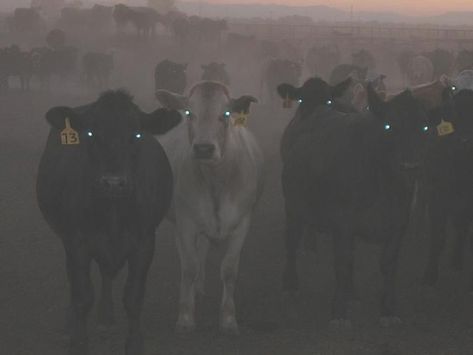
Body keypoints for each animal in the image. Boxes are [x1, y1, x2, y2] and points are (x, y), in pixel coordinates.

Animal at [36, 90, 181, 354]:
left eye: (137, 134)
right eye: (91, 133)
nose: (113, 183)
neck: (113, 214)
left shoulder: (144, 242)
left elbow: (133, 297)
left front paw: (134, 343)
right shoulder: (77, 241)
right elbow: (82, 295)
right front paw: (78, 341)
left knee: (106, 274)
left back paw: (106, 315)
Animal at [157, 81, 264, 336]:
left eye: (225, 114)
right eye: (189, 113)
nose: (204, 148)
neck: (216, 181)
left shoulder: (242, 223)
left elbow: (229, 270)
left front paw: (228, 319)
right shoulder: (186, 223)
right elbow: (189, 267)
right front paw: (185, 317)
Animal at [278, 78, 434, 328]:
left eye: (425, 127)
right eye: (389, 126)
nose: (410, 166)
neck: (384, 185)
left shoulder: (398, 225)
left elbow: (389, 265)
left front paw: (388, 310)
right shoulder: (342, 225)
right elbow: (343, 263)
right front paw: (339, 312)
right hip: (293, 207)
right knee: (292, 242)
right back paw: (290, 286)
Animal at [422, 88, 473, 290]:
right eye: (455, 116)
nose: (466, 140)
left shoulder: (466, 203)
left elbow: (462, 228)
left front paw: (457, 260)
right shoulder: (437, 200)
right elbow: (438, 236)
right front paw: (430, 273)